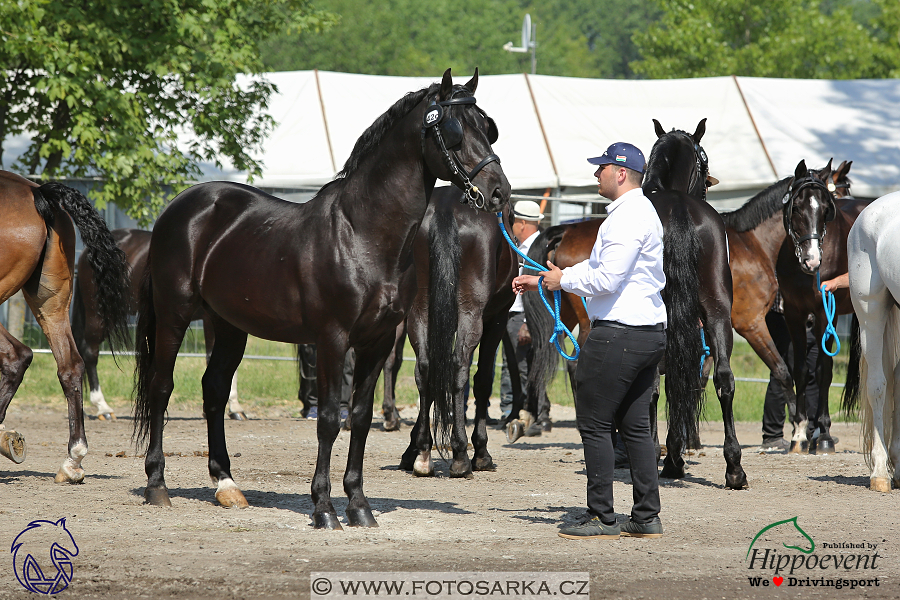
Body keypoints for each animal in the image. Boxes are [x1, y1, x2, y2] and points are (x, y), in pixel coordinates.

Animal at [72, 230, 248, 422]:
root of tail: (85, 252)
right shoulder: (211, 318)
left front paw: (233, 407)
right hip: (99, 313)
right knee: (90, 353)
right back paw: (102, 407)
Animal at [130, 71, 510, 528]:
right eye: (455, 131)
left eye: (487, 127)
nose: (499, 192)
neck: (362, 234)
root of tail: (178, 208)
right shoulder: (332, 338)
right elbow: (329, 419)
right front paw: (324, 507)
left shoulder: (378, 342)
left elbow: (360, 418)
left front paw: (359, 506)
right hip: (174, 314)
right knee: (161, 386)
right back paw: (157, 484)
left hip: (229, 325)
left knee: (215, 390)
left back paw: (226, 484)